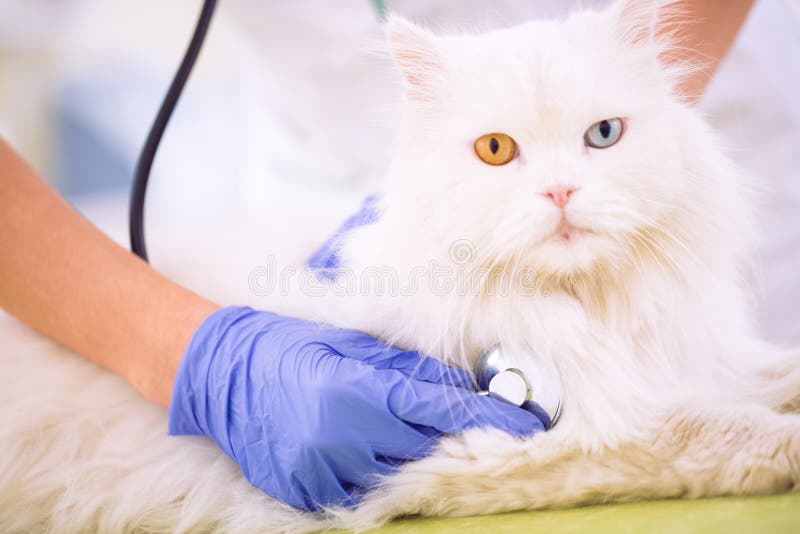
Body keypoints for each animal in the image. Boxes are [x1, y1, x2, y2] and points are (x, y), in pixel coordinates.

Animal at [0, 1, 796, 534]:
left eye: (603, 135)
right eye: (497, 151)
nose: (561, 192)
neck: (586, 309)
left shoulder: (697, 358)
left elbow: (770, 374)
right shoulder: (522, 443)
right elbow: (721, 430)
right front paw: (781, 441)